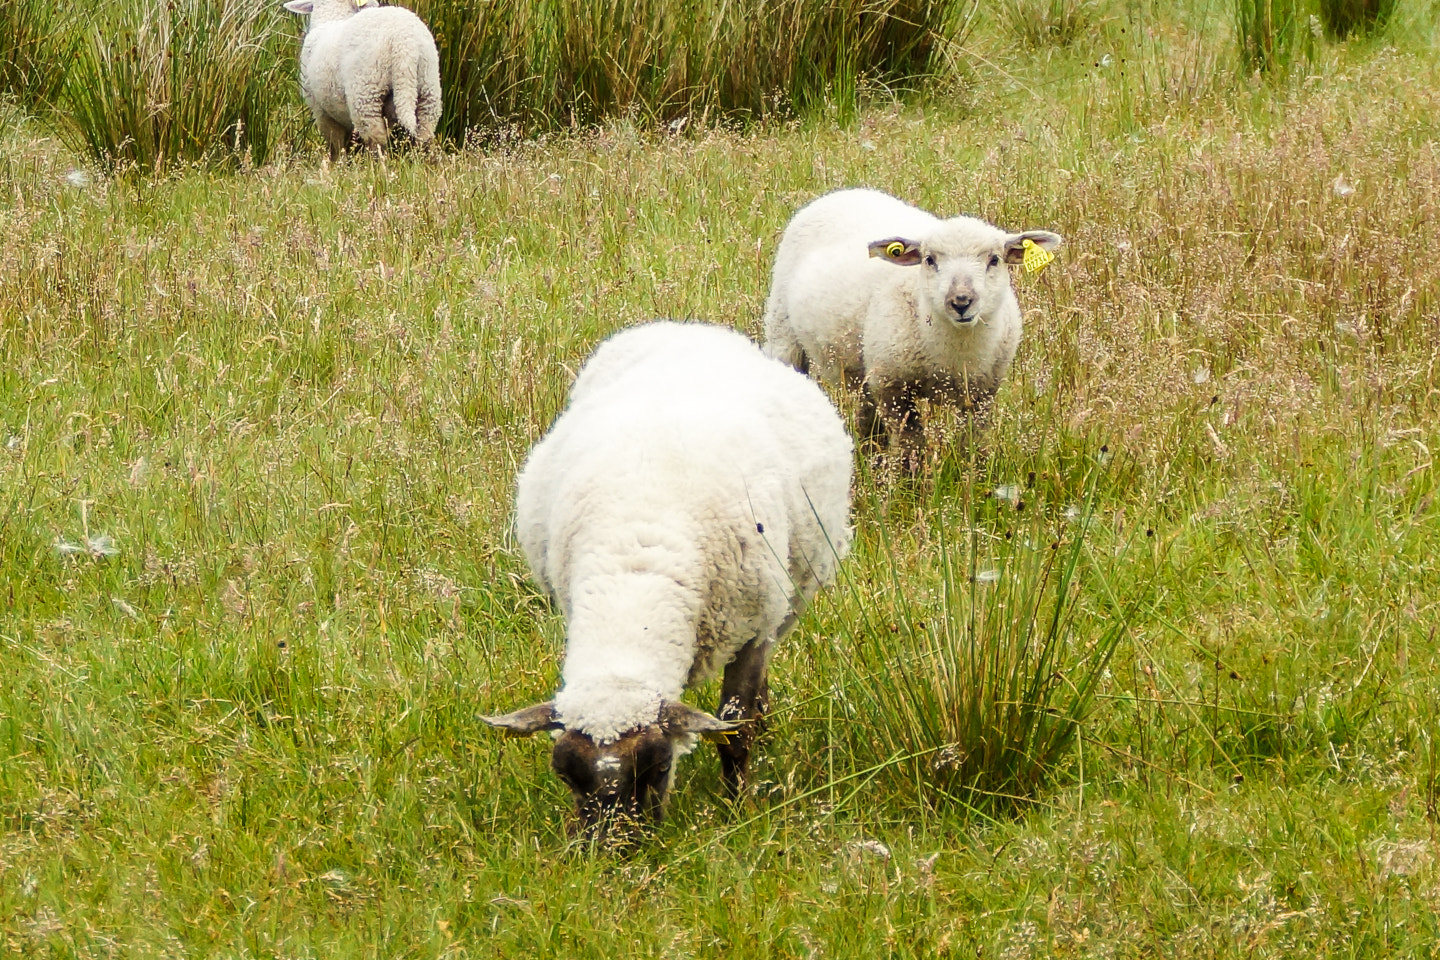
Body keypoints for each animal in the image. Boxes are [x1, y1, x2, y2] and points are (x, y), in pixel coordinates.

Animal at [279, 0, 437, 162]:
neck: (332, 16)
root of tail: (404, 43)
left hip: (366, 93)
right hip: (428, 88)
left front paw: (337, 164)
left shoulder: (322, 112)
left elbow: (336, 147)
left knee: (376, 141)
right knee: (424, 137)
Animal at [483, 322, 846, 840]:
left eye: (656, 768)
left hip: (785, 604)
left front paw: (738, 809)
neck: (634, 578)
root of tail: (694, 328)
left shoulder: (752, 631)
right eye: (565, 774)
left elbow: (735, 731)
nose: (611, 850)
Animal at [766, 188, 1059, 472]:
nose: (961, 302)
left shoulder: (982, 393)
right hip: (783, 330)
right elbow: (911, 446)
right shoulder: (892, 387)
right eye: (929, 260)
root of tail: (843, 192)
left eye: (994, 260)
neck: (953, 356)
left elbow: (972, 444)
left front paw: (972, 476)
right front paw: (911, 483)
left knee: (867, 420)